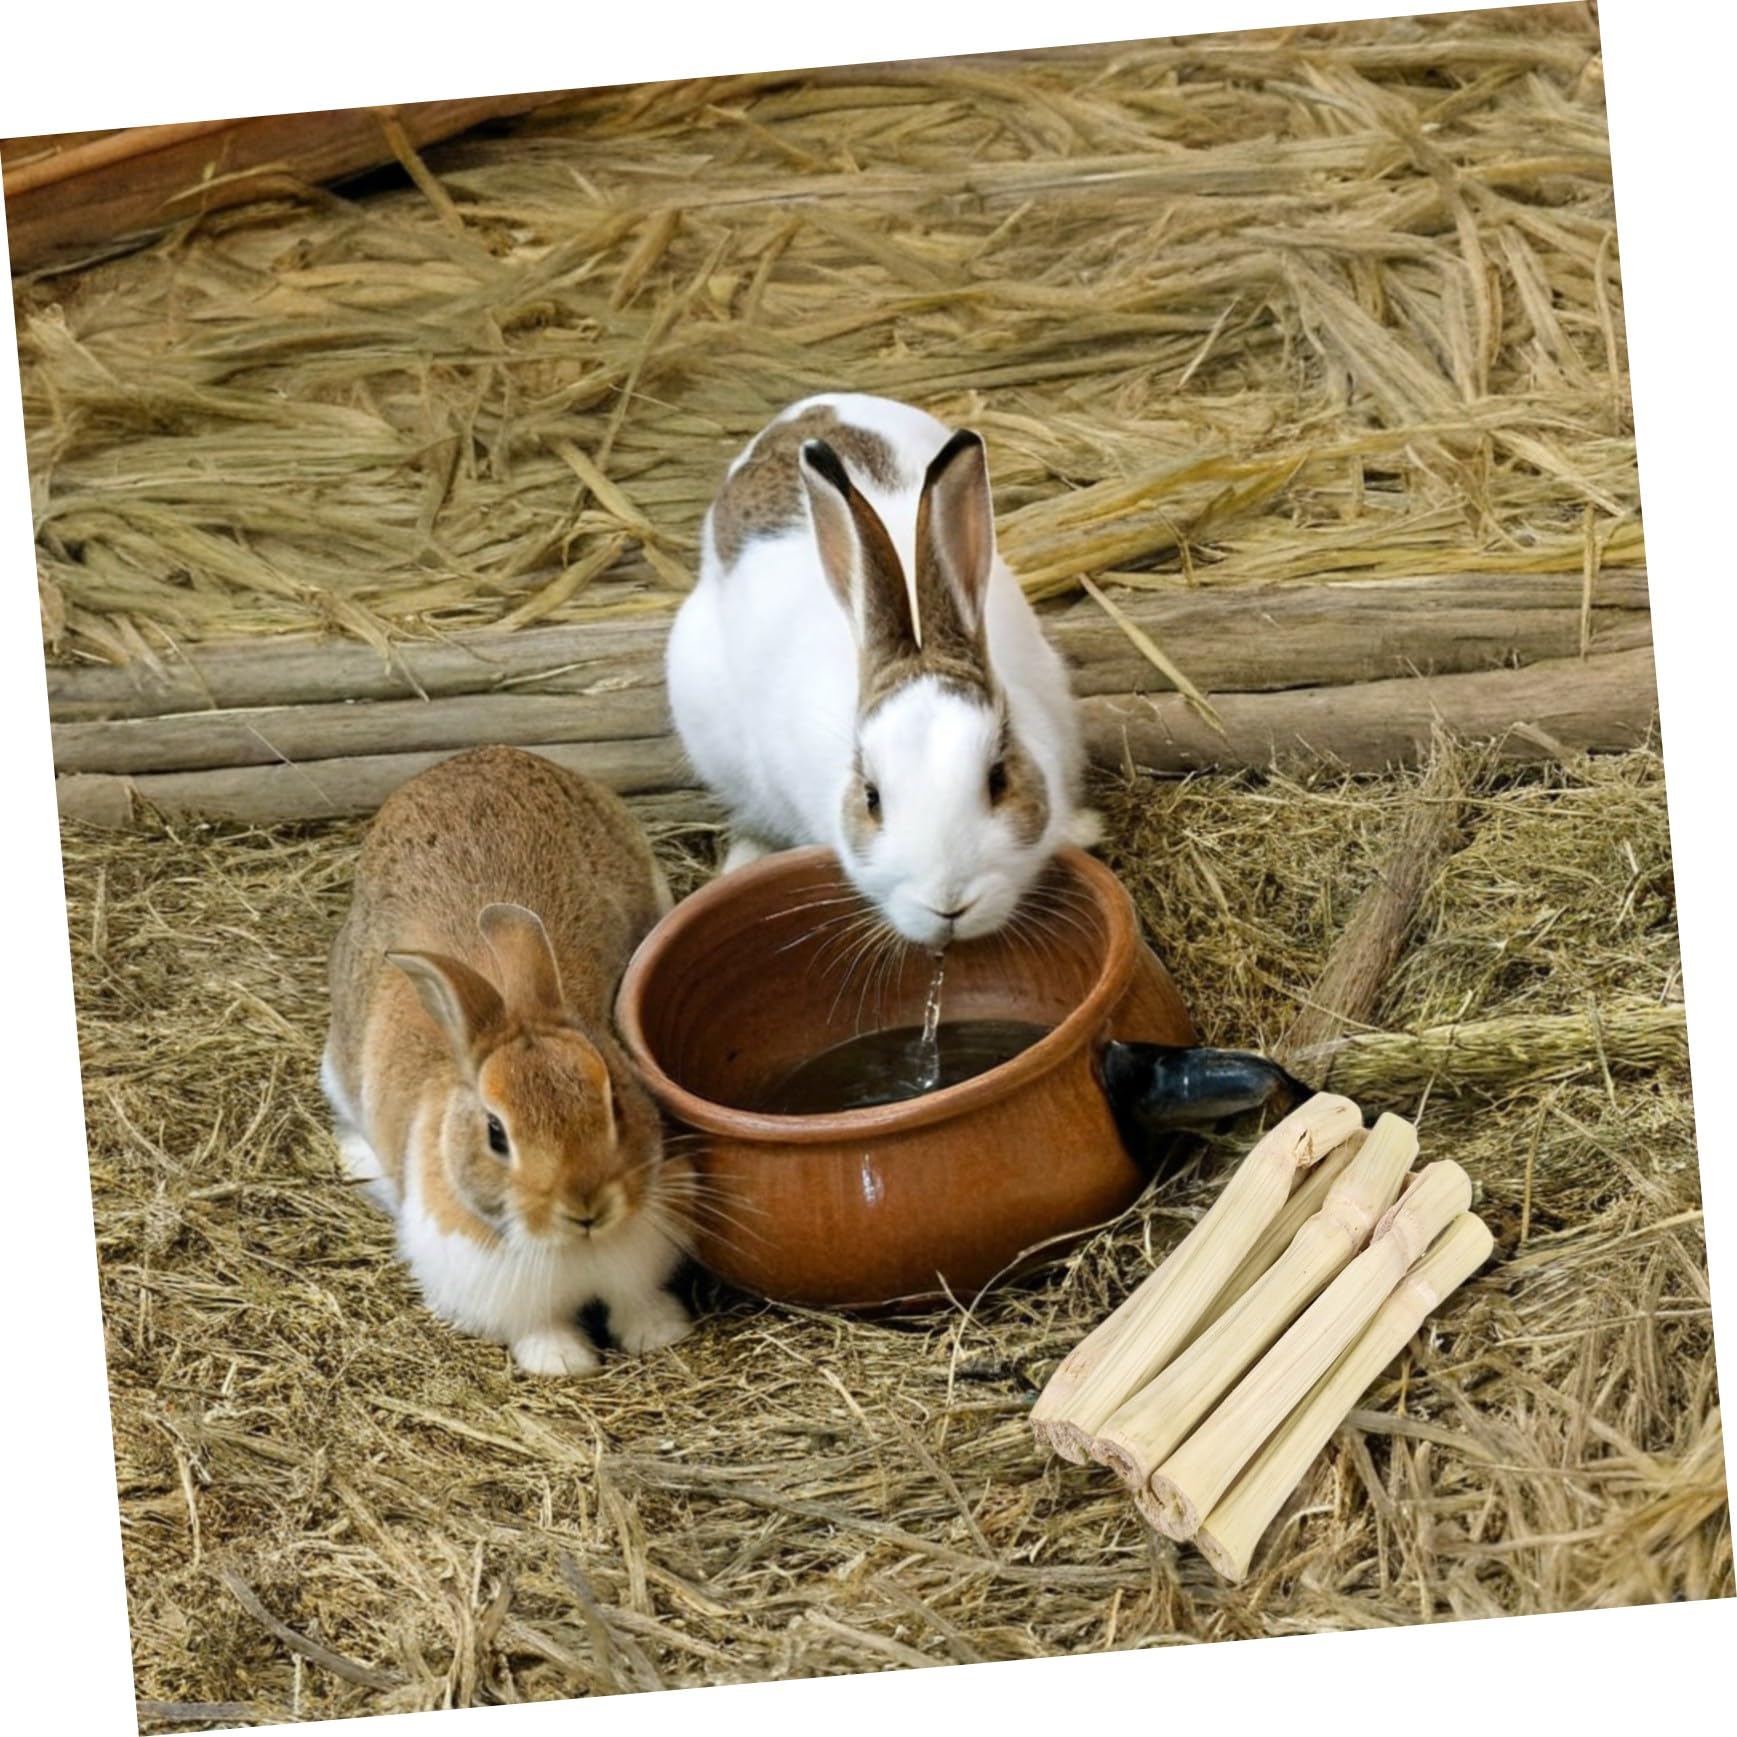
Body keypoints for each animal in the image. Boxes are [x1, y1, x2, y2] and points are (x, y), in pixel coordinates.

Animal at [320, 745, 692, 1377]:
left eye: (615, 1100)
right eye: (496, 1134)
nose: (586, 1205)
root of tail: (470, 757)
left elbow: (638, 1300)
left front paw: (658, 1333)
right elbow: (538, 1329)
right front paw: (562, 1361)